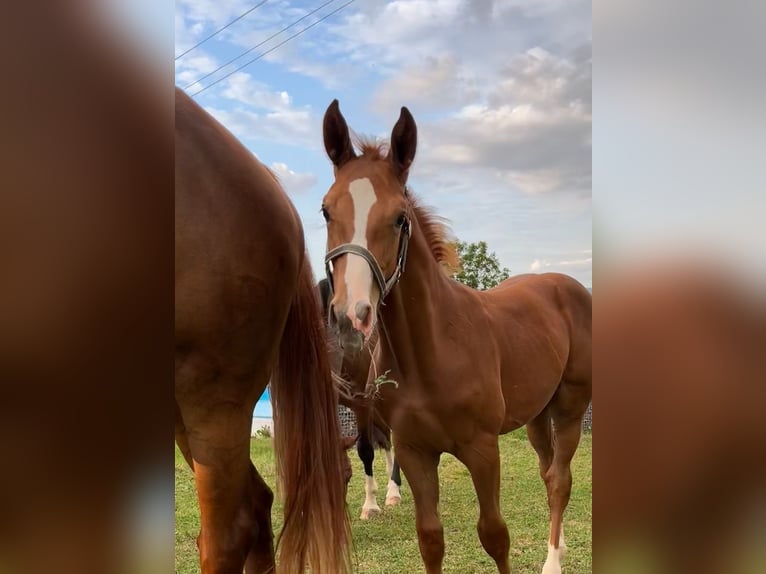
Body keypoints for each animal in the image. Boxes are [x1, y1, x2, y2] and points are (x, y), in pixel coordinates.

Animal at [316, 280, 404, 520]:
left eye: (347, 476)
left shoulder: (363, 403)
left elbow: (365, 450)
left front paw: (370, 506)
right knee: (386, 439)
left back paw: (394, 490)